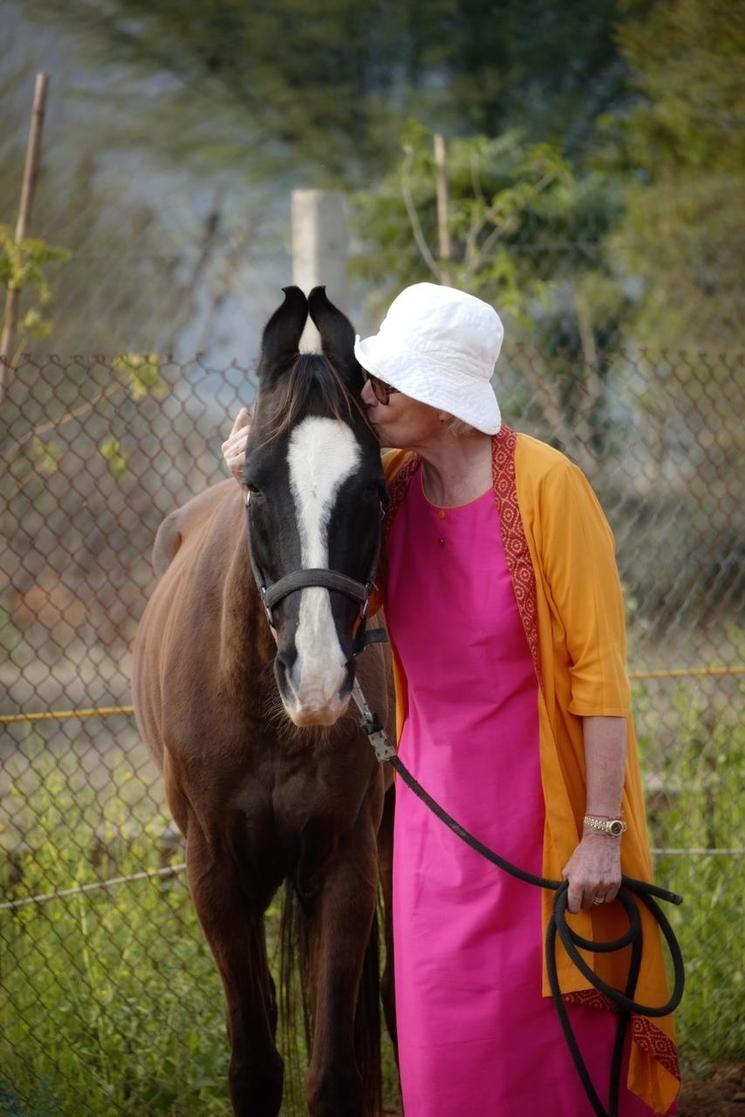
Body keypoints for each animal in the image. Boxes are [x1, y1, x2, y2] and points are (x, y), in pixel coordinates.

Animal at [132, 286, 395, 1117]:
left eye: (374, 490)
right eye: (255, 484)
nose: (316, 678)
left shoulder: (345, 865)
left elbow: (335, 1072)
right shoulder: (217, 875)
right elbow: (254, 1065)